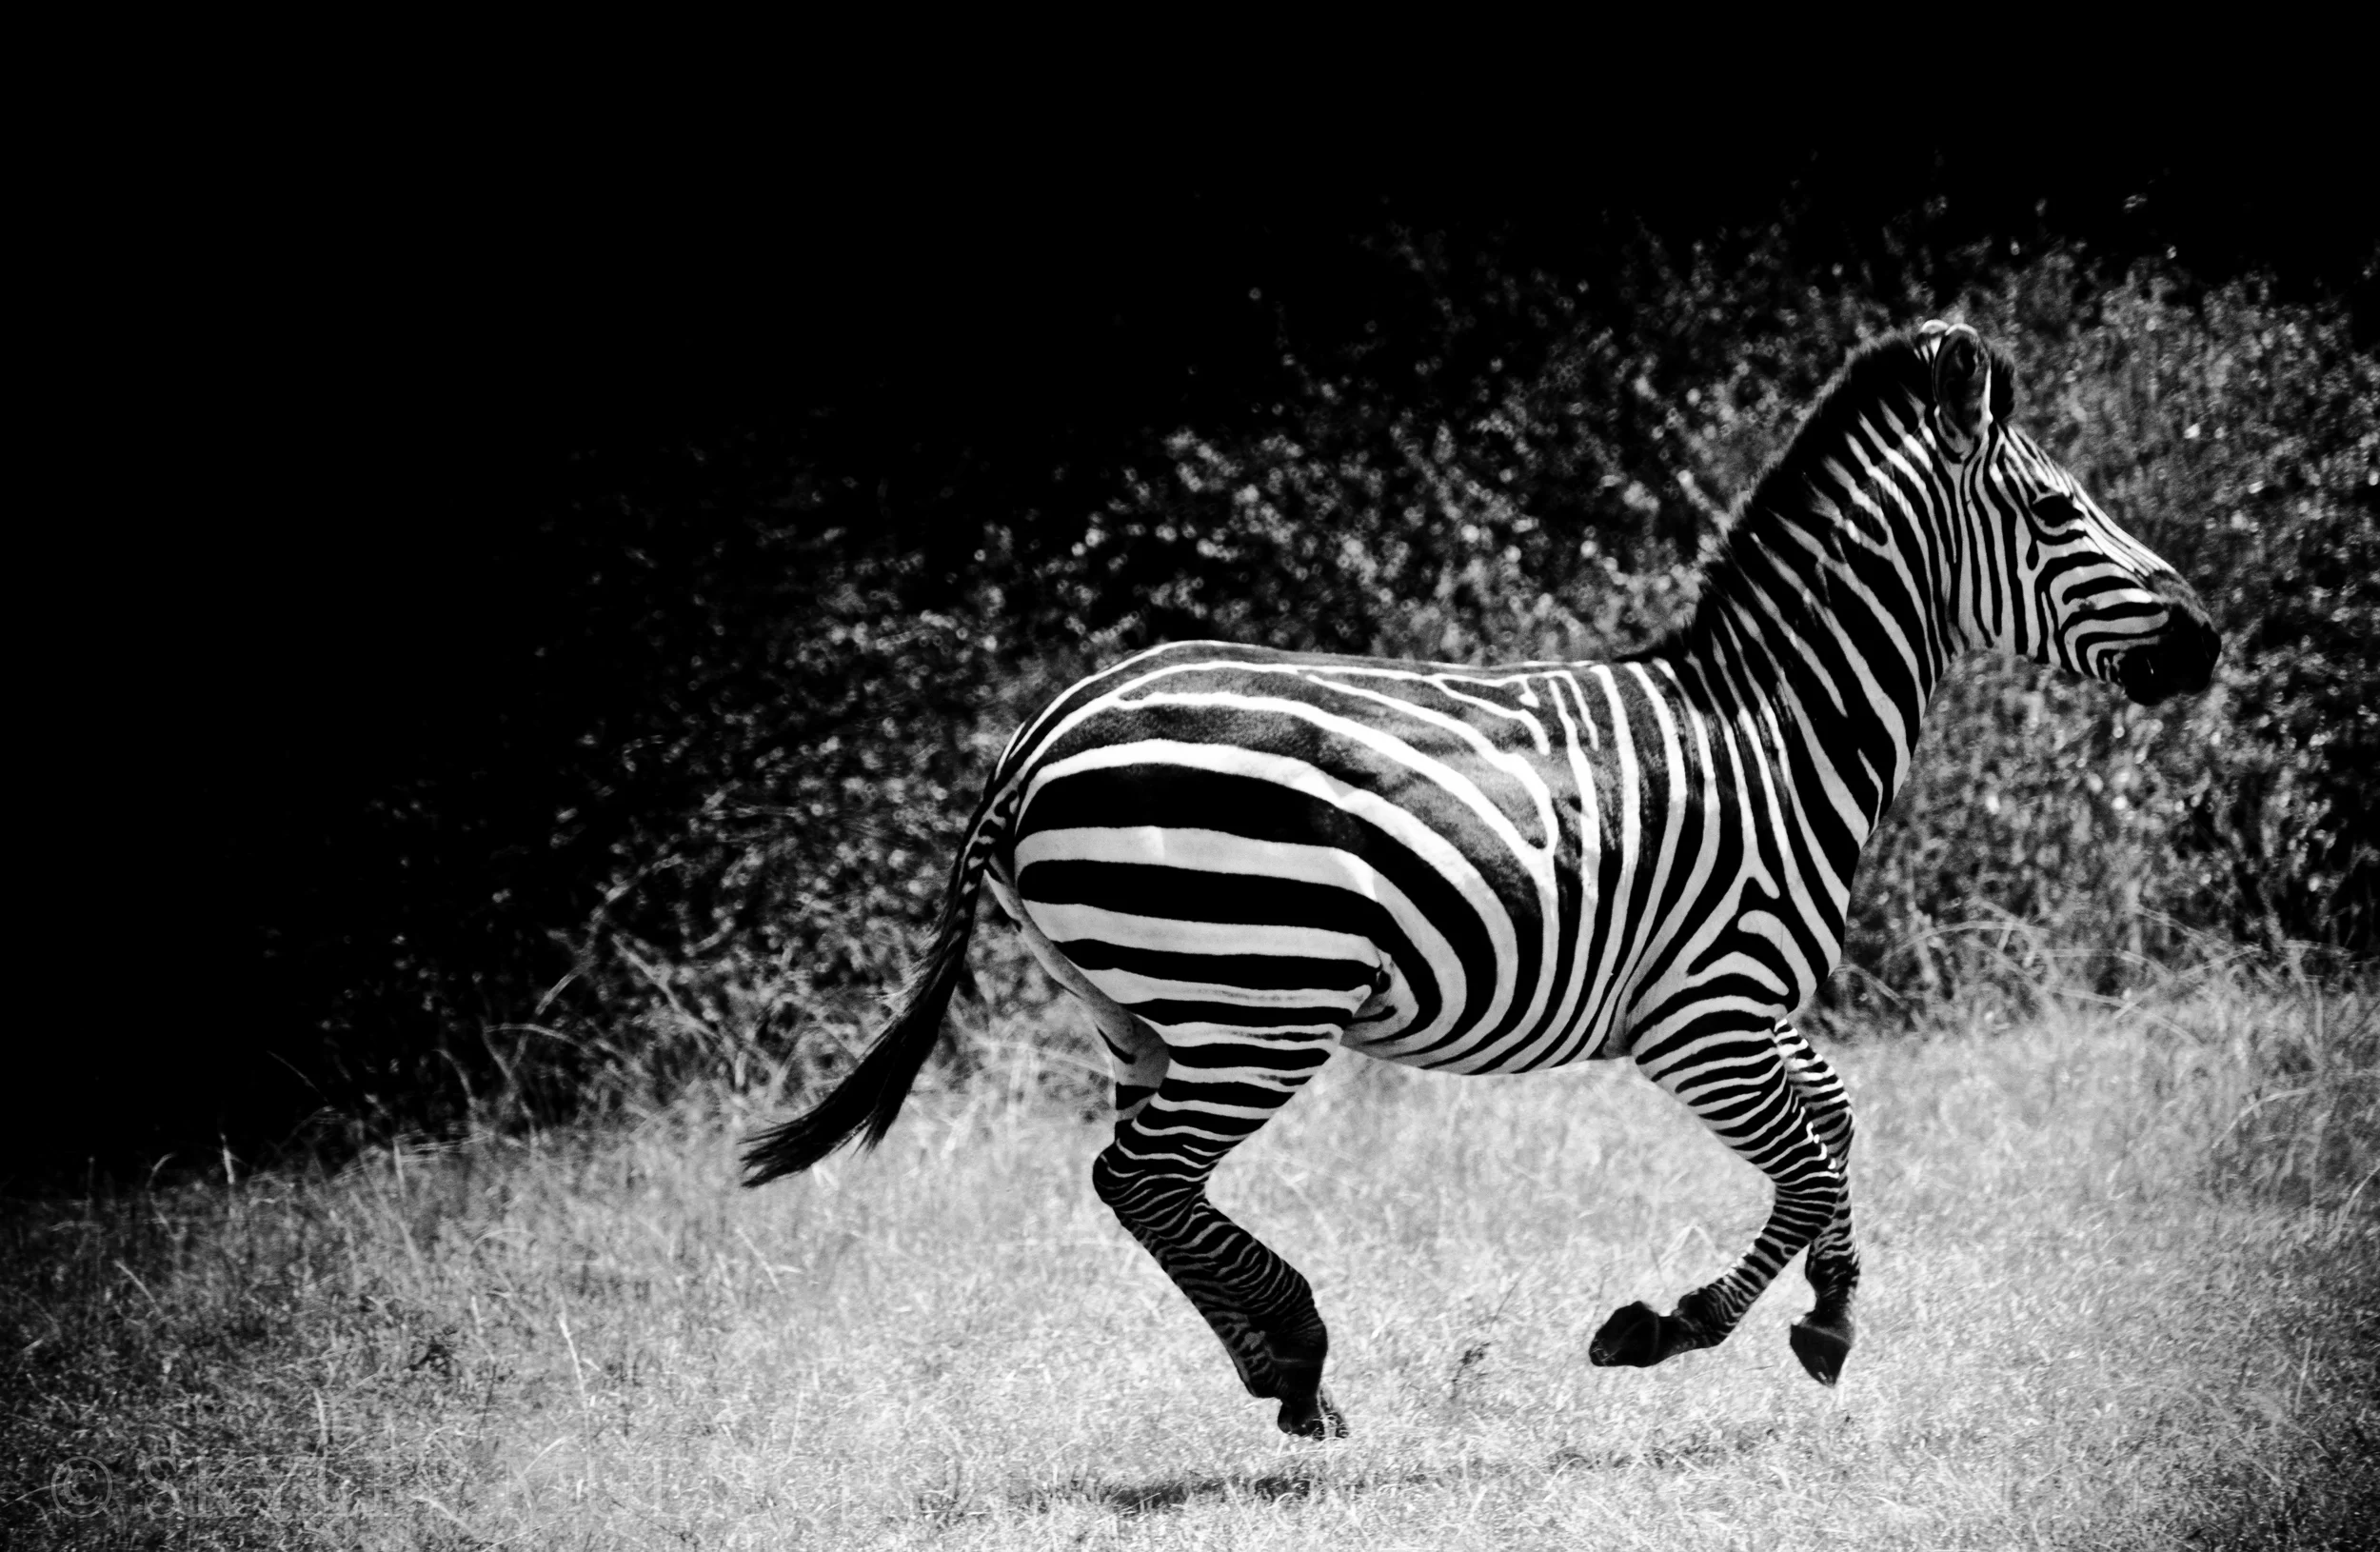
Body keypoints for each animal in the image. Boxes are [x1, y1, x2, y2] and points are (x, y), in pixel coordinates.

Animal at [743, 321, 2220, 1439]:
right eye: (2056, 510)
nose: (2205, 641)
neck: (1777, 725)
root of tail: (1037, 736)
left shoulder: (1751, 1010)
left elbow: (1841, 1123)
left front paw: (1830, 1314)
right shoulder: (1701, 1017)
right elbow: (1805, 1164)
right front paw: (1667, 1327)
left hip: (1146, 1010)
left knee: (1147, 1189)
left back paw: (1279, 1367)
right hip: (1254, 999)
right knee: (1142, 1176)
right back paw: (1297, 1350)